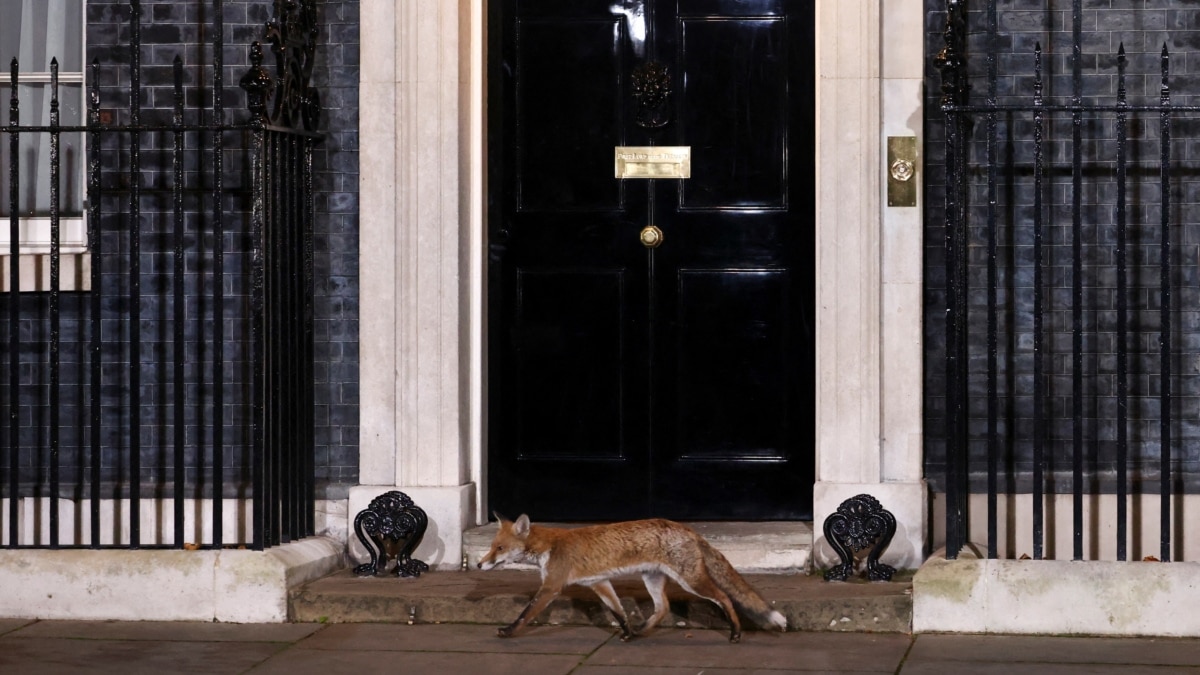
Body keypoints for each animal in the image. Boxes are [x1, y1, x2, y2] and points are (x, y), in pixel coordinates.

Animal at [472, 511, 792, 638]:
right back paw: (640, 632)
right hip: (652, 579)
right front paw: (626, 631)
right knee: (663, 608)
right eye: (490, 546)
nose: (479, 565)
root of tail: (687, 529)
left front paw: (508, 632)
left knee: (724, 597)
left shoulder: (552, 586)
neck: (548, 546)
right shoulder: (599, 582)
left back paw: (736, 633)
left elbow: (525, 613)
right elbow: (619, 612)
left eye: (499, 548)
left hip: (692, 581)